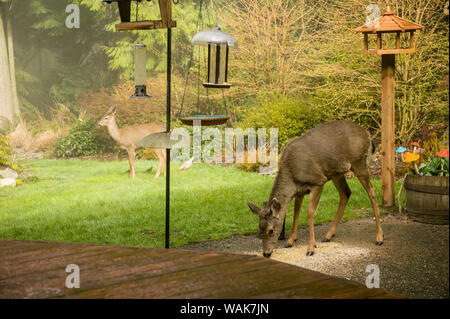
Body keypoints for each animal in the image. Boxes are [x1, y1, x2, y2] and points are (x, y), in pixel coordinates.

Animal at [246, 120, 384, 258]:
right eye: (258, 231)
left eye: (271, 230)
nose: (266, 253)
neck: (292, 175)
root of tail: (367, 134)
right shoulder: (299, 191)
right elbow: (296, 211)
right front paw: (290, 241)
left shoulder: (318, 181)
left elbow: (310, 212)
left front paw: (311, 248)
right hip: (336, 173)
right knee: (346, 193)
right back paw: (328, 235)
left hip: (359, 162)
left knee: (371, 192)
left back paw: (379, 238)